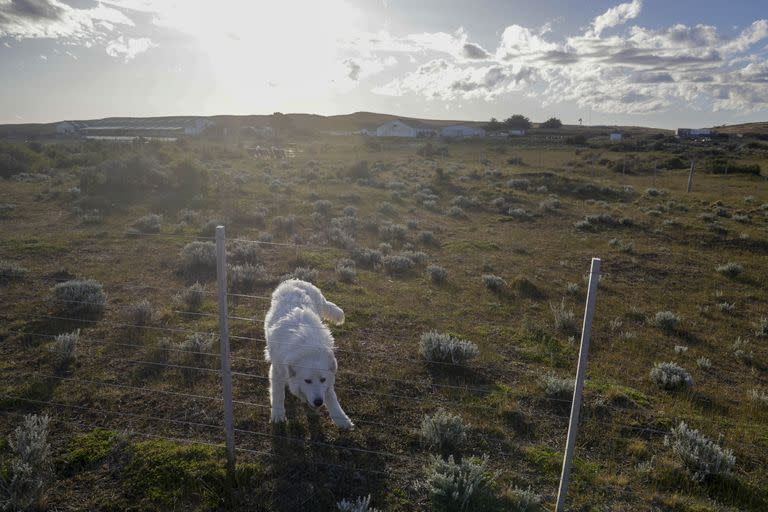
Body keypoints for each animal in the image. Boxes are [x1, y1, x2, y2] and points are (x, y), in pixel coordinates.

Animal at [260, 280, 352, 428]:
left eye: (323, 380)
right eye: (307, 381)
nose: (318, 402)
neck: (308, 348)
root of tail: (298, 280)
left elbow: (331, 396)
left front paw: (341, 419)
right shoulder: (277, 369)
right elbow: (277, 393)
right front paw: (278, 414)